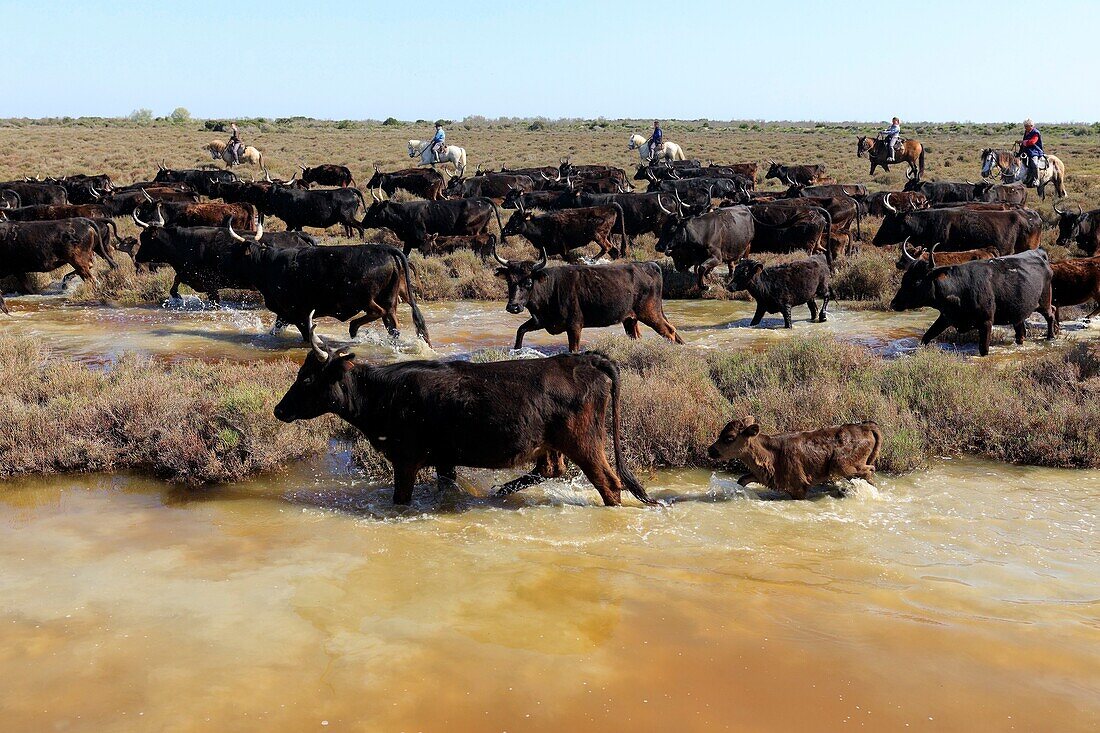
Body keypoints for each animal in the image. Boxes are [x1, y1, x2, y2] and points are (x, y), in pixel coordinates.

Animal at [708, 413, 880, 499]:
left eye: (729, 437)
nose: (710, 450)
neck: (770, 455)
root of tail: (867, 426)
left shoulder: (798, 486)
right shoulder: (764, 476)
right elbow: (742, 479)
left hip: (842, 465)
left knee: (870, 470)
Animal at [884, 248, 1056, 356]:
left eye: (917, 281)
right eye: (904, 278)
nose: (894, 303)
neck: (960, 288)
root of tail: (1039, 253)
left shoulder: (986, 323)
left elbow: (983, 350)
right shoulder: (945, 318)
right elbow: (926, 337)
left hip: (1044, 302)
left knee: (1051, 313)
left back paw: (1051, 336)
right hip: (1018, 314)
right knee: (1021, 332)